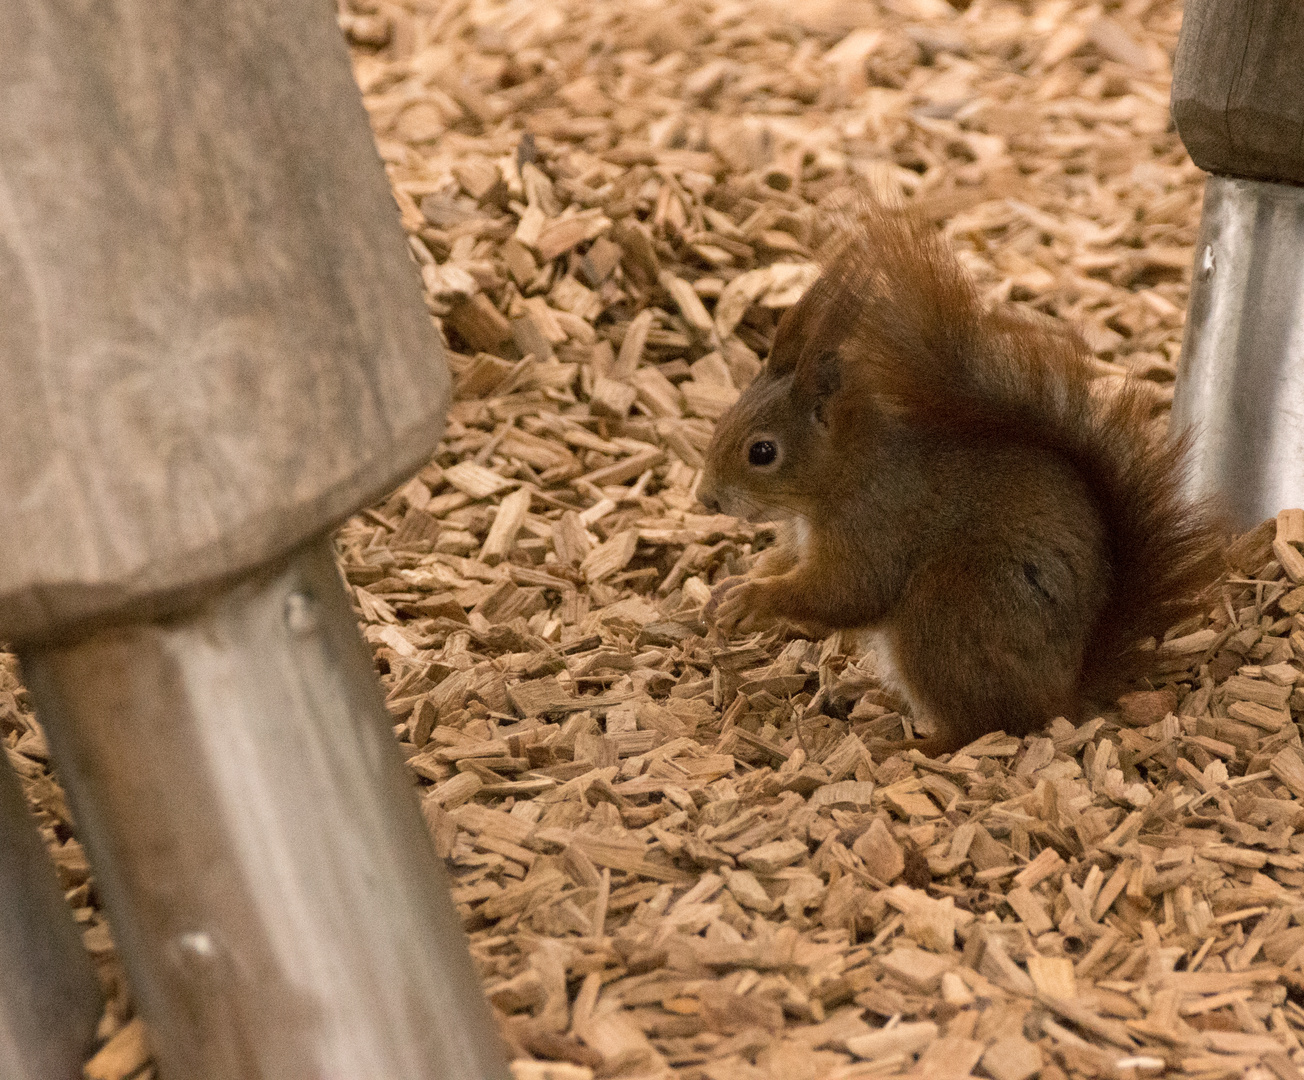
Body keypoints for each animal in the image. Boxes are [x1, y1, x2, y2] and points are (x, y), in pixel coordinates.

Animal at [698, 204, 1225, 761]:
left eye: (762, 452)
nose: (706, 498)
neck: (845, 473)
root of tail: (1063, 693)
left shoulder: (877, 523)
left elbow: (846, 592)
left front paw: (753, 600)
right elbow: (786, 564)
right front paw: (730, 586)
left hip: (947, 615)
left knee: (981, 726)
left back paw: (902, 746)